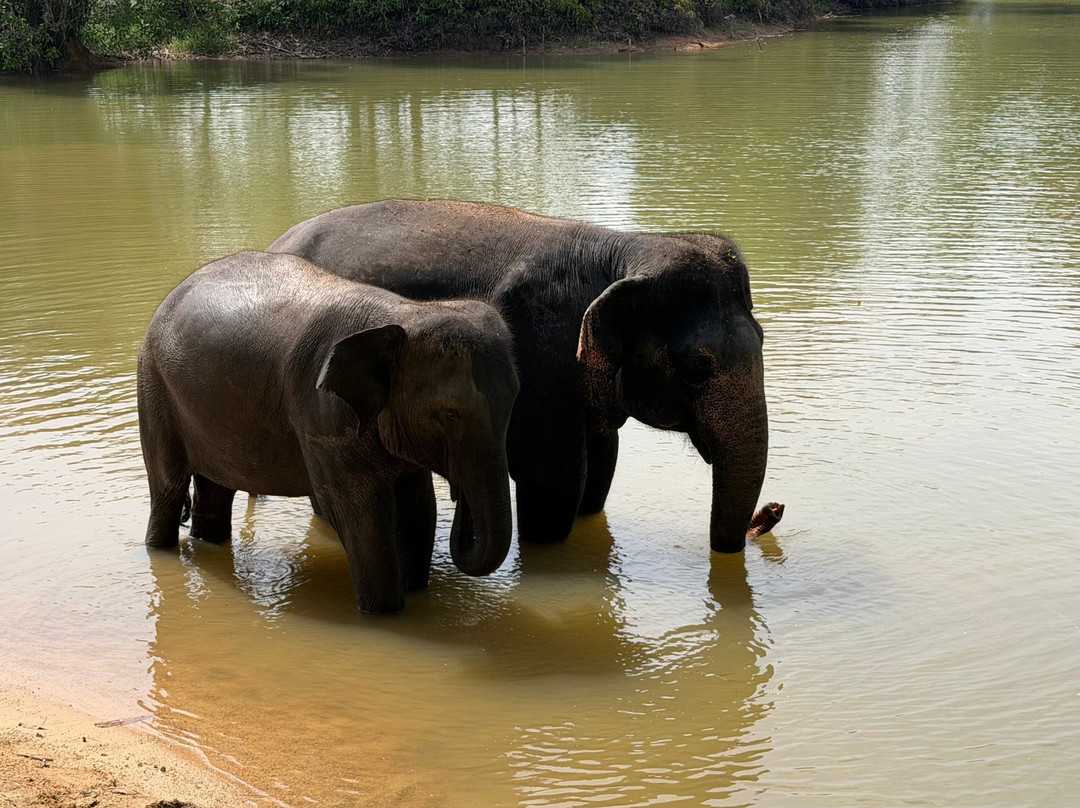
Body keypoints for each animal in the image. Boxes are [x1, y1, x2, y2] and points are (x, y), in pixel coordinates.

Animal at [137, 251, 519, 614]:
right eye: (449, 414)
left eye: (514, 400)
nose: (460, 495)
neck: (404, 313)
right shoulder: (322, 412)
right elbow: (360, 516)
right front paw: (385, 614)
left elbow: (419, 507)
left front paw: (417, 593)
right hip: (154, 386)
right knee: (168, 489)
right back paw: (160, 548)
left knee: (216, 491)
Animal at [268, 199, 769, 554]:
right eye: (699, 366)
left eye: (763, 339)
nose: (769, 515)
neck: (623, 249)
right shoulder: (540, 357)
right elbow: (555, 480)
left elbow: (600, 470)